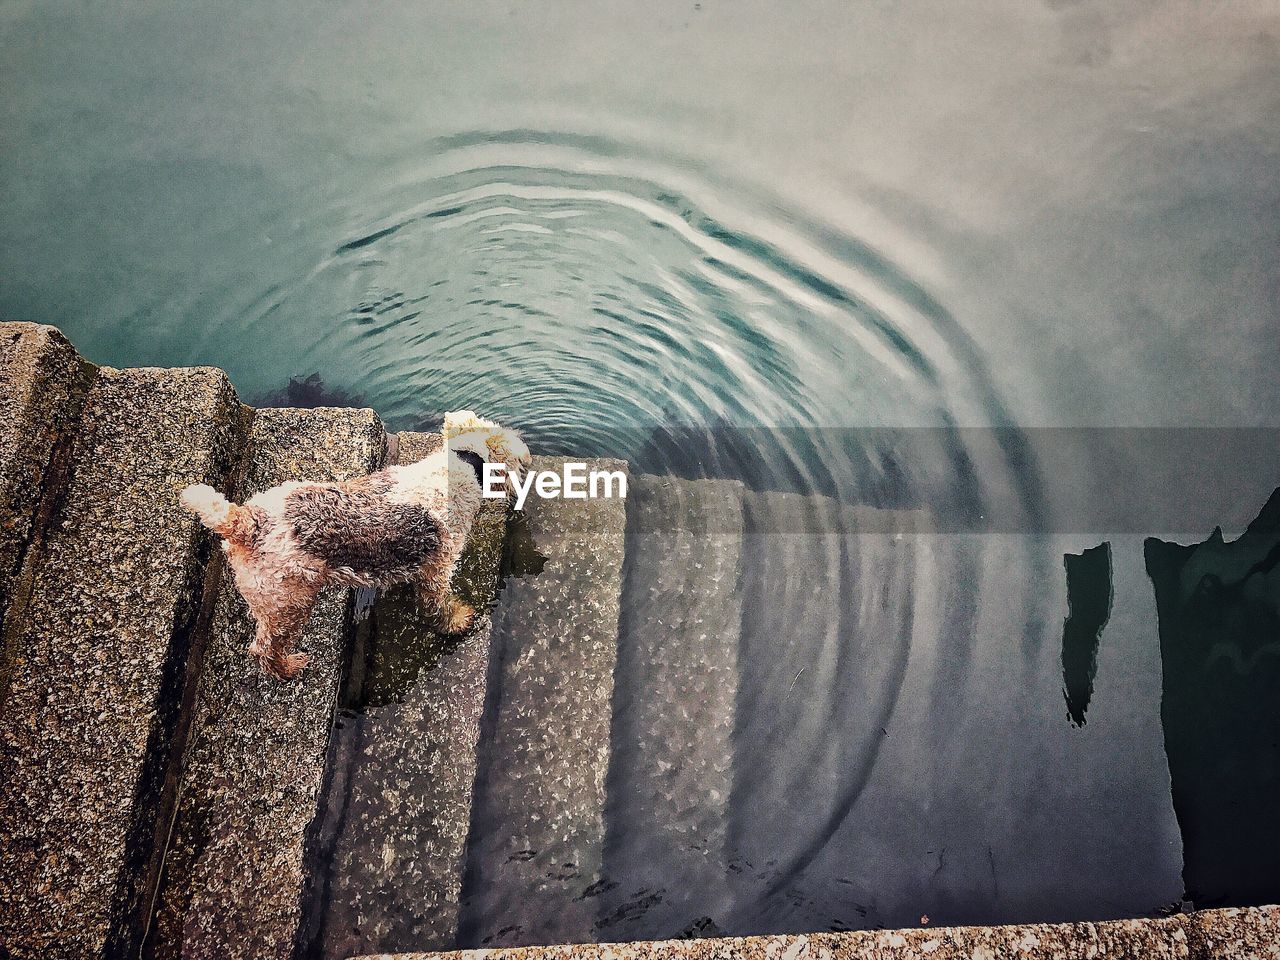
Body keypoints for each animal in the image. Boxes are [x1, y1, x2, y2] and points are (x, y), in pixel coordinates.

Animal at [177, 409, 527, 680]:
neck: (462, 464)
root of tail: (244, 521)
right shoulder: (439, 567)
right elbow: (437, 604)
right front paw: (456, 621)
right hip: (287, 604)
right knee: (264, 649)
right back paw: (289, 668)